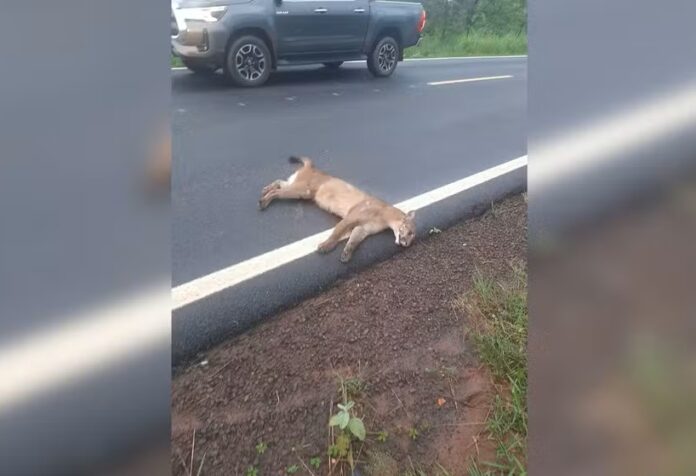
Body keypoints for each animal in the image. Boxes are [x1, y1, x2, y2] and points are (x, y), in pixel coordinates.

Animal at [259, 156, 416, 263]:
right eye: (409, 232)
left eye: (412, 237)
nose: (407, 244)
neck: (385, 216)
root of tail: (312, 167)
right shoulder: (351, 218)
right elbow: (336, 233)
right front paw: (325, 246)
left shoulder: (363, 228)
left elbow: (353, 240)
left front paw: (346, 254)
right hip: (302, 191)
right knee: (278, 192)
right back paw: (263, 201)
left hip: (298, 188)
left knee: (280, 182)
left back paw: (265, 190)